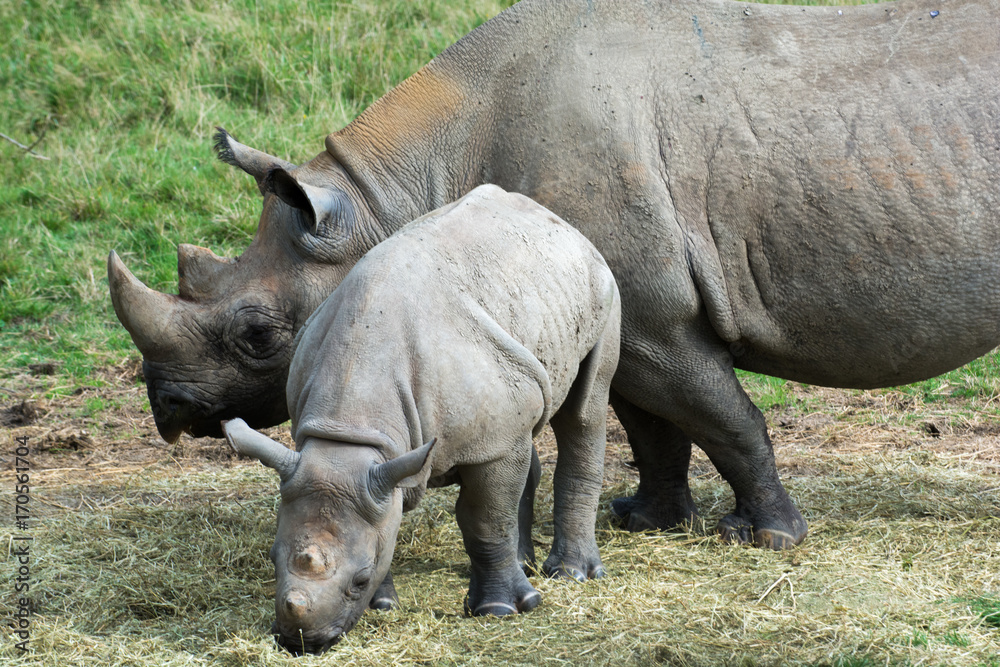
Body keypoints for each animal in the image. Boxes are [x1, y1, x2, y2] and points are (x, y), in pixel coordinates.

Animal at [109, 0, 1000, 552]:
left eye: (258, 333)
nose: (168, 408)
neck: (391, 197)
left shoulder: (652, 318)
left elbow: (728, 420)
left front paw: (771, 536)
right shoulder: (624, 317)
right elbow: (655, 425)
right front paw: (648, 518)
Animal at [220, 185, 620, 653]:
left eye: (358, 580)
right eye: (271, 559)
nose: (301, 642)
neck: (350, 432)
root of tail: (555, 219)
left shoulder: (480, 447)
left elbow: (485, 520)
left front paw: (500, 611)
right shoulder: (372, 468)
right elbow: (387, 522)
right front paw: (384, 606)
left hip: (602, 284)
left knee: (583, 410)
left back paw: (571, 575)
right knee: (526, 432)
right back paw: (526, 565)